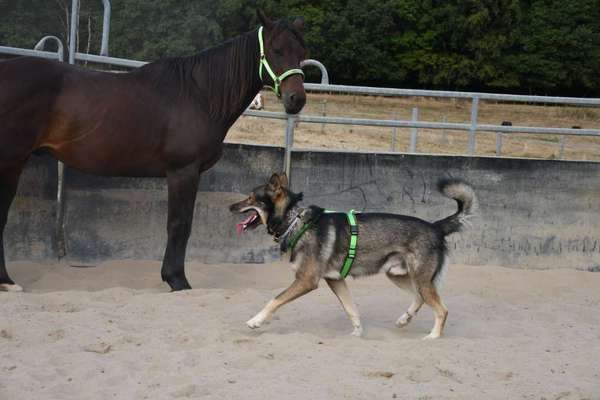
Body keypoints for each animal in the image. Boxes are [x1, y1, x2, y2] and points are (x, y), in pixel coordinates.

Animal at [0, 9, 308, 290]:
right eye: (276, 50)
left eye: (301, 52)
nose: (297, 99)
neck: (199, 94)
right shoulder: (183, 172)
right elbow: (179, 225)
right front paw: (177, 280)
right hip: (11, 162)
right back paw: (7, 281)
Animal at [230, 173, 478, 340]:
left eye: (250, 198)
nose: (231, 207)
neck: (295, 221)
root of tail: (436, 227)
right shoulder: (336, 280)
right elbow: (351, 309)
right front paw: (357, 333)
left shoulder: (306, 281)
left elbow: (274, 300)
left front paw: (255, 321)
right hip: (398, 275)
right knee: (420, 298)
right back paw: (404, 319)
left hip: (419, 279)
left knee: (441, 309)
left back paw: (433, 337)